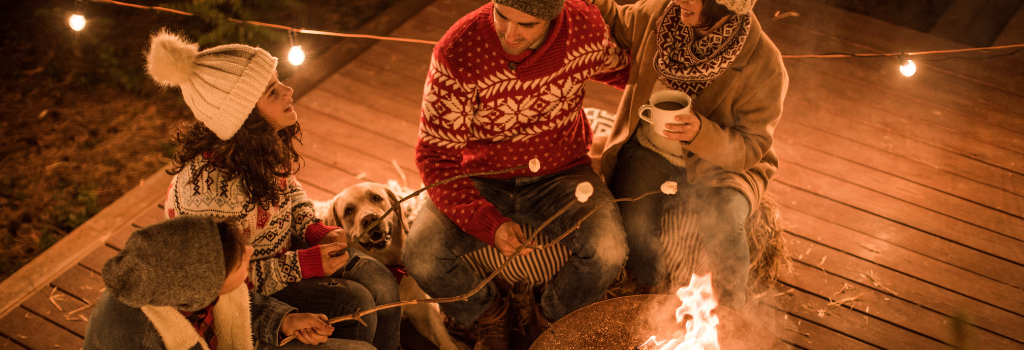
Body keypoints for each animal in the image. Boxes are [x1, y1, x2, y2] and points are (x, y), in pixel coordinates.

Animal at [317, 182, 466, 350]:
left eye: (376, 198)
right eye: (348, 211)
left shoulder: (424, 310)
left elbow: (445, 340)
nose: (369, 219)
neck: (392, 267)